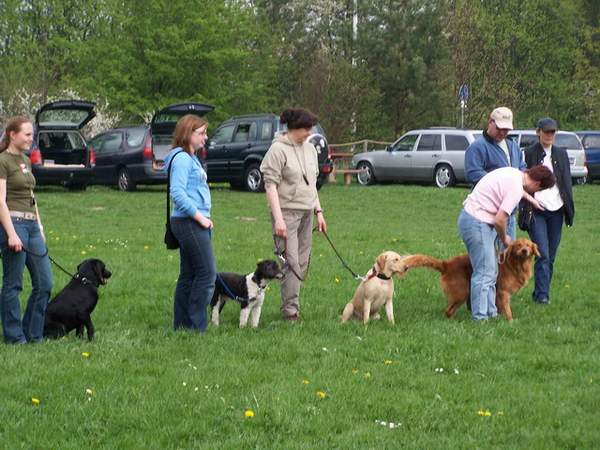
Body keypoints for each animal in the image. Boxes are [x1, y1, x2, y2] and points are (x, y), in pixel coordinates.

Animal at [404, 238, 540, 321]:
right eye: (518, 245)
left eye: (528, 245)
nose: (524, 250)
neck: (516, 264)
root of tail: (447, 264)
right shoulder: (503, 292)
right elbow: (507, 310)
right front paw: (510, 321)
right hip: (462, 292)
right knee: (448, 310)